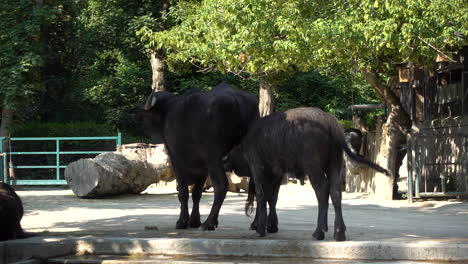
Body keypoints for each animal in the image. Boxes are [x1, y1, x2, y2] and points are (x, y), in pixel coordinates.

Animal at [134, 81, 260, 230]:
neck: (168, 112)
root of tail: (237, 100)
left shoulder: (176, 159)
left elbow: (183, 191)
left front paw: (182, 221)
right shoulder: (202, 167)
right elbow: (196, 193)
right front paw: (194, 220)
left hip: (214, 158)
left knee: (221, 185)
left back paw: (209, 222)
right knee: (258, 186)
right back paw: (256, 223)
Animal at [225, 106, 390, 240]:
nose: (224, 160)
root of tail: (330, 123)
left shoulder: (257, 168)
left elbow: (261, 195)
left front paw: (260, 228)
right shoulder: (277, 174)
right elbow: (273, 197)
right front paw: (272, 226)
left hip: (313, 168)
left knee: (322, 190)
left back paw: (319, 232)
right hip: (335, 165)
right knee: (335, 192)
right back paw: (338, 232)